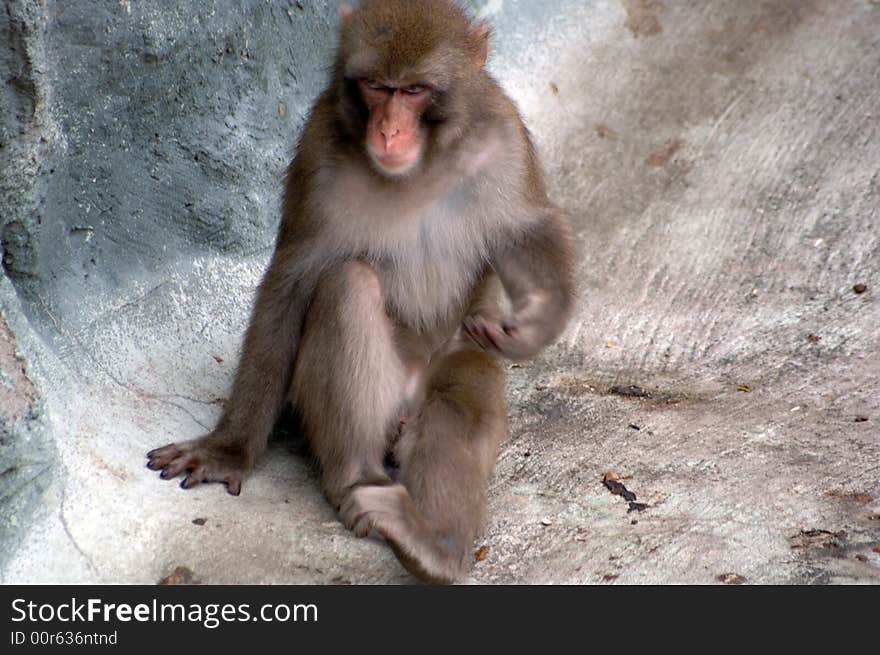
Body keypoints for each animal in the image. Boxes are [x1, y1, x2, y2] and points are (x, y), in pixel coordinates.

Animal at [148, 0, 576, 584]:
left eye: (414, 90)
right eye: (376, 87)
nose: (389, 130)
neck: (420, 168)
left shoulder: (503, 139)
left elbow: (526, 230)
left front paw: (537, 322)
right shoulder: (318, 153)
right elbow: (291, 284)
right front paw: (228, 449)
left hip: (439, 369)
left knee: (463, 390)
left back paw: (432, 546)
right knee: (346, 285)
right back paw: (362, 485)